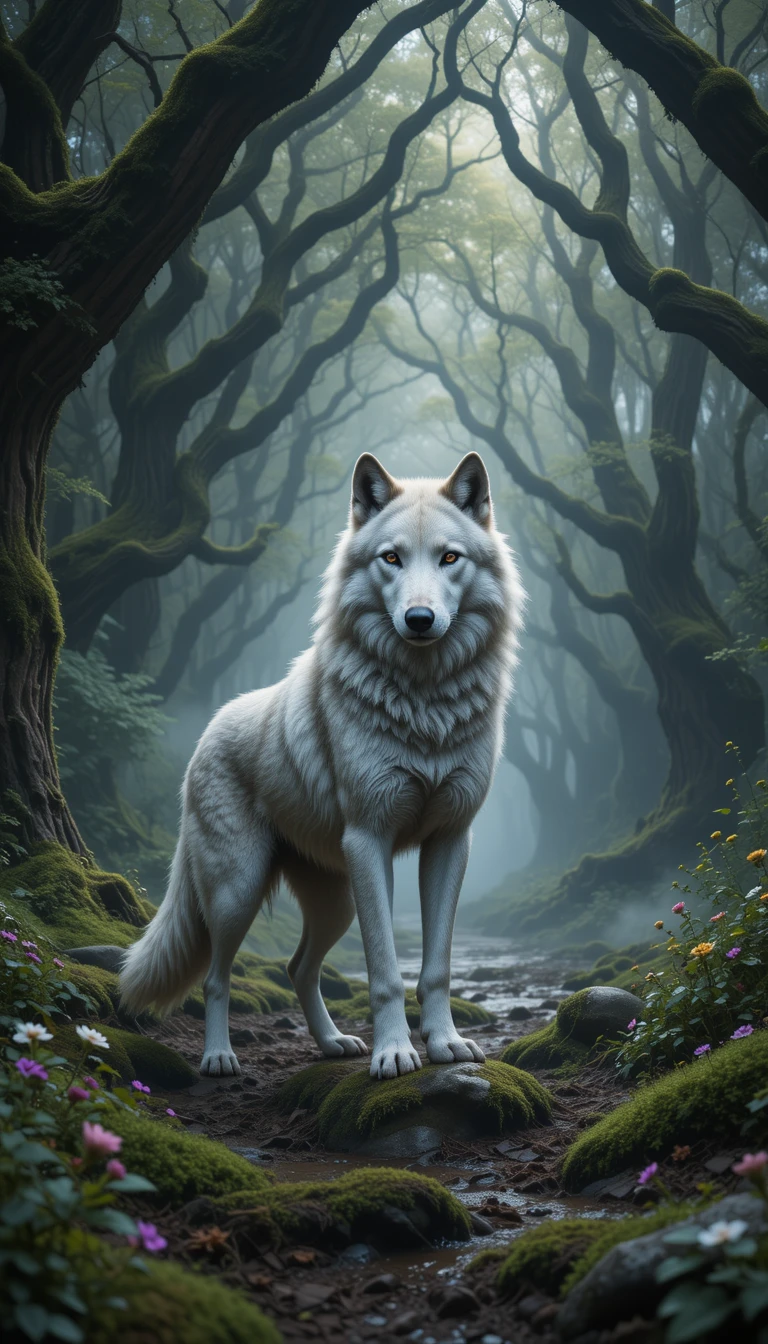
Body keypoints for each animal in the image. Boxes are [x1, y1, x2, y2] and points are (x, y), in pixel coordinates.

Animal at [120, 452, 523, 1079]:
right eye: (392, 558)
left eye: (450, 558)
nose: (420, 618)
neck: (425, 702)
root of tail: (207, 731)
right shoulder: (370, 838)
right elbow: (384, 971)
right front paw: (394, 1053)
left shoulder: (451, 841)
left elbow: (436, 967)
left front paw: (445, 1044)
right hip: (238, 891)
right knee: (215, 976)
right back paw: (219, 1057)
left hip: (334, 903)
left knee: (298, 967)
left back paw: (333, 1043)